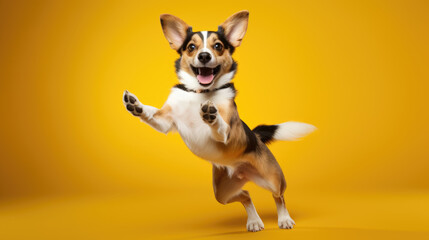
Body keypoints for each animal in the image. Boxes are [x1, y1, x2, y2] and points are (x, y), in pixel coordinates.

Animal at [122, 10, 316, 232]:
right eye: (191, 47)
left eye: (218, 46)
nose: (204, 56)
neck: (200, 92)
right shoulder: (166, 121)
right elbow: (150, 113)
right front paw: (136, 105)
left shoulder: (227, 133)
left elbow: (220, 125)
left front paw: (211, 114)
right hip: (222, 193)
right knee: (246, 195)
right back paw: (254, 221)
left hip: (273, 178)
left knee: (279, 196)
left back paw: (284, 219)